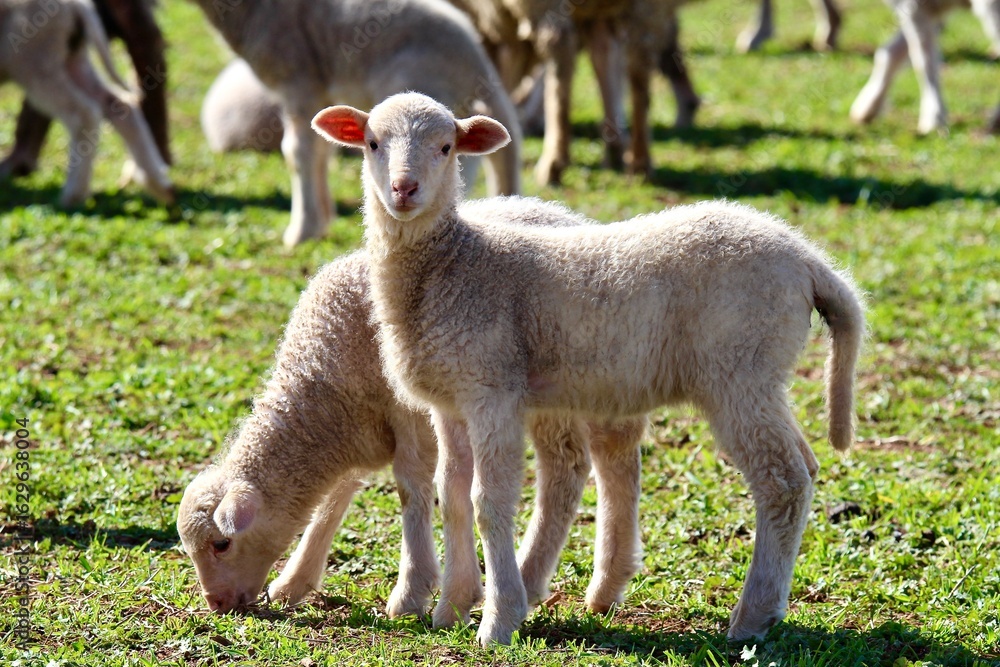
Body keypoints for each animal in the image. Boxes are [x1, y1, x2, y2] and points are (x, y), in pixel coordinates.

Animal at [0, 0, 173, 206]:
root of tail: (76, 5)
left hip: (34, 61)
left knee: (82, 113)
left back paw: (73, 196)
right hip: (72, 57)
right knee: (119, 104)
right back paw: (158, 184)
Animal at [177, 207, 647, 619]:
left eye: (221, 544)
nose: (216, 604)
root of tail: (569, 217)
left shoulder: (410, 416)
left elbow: (410, 489)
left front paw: (411, 592)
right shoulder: (359, 428)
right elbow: (335, 497)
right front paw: (295, 582)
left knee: (584, 463)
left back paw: (572, 581)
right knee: (584, 463)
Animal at [187, 0, 521, 248]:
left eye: (446, 148)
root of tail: (475, 59)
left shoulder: (300, 80)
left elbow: (297, 154)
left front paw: (302, 230)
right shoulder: (320, 93)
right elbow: (320, 150)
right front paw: (322, 218)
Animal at [312, 92, 866, 646]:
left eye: (446, 147)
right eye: (372, 143)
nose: (404, 189)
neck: (453, 264)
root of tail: (807, 260)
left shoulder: (493, 390)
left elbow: (490, 501)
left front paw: (498, 619)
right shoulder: (451, 400)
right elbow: (452, 497)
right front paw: (452, 606)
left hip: (739, 369)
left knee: (782, 480)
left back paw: (753, 615)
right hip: (763, 376)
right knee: (804, 466)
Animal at [850, 0, 1000, 134]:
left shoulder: (914, 6)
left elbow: (923, 62)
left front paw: (934, 120)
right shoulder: (926, 7)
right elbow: (893, 52)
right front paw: (867, 108)